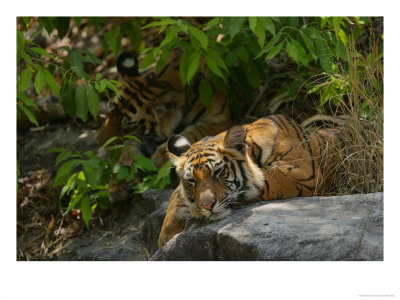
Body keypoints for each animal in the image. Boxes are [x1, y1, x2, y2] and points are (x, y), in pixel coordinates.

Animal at [96, 51, 231, 203]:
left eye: (126, 126)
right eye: (109, 114)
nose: (99, 142)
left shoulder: (219, 118)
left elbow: (194, 131)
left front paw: (159, 159)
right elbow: (128, 150)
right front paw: (117, 184)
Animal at [158, 112, 348, 246]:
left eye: (218, 172)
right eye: (191, 181)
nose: (207, 206)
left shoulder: (305, 174)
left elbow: (266, 181)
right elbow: (177, 194)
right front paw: (165, 234)